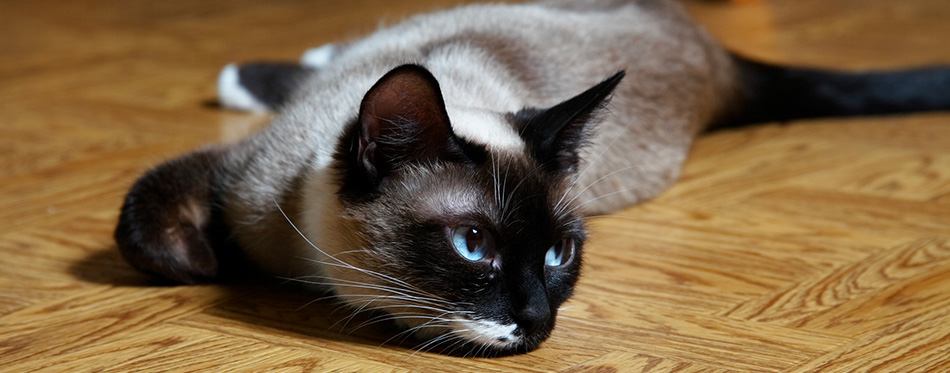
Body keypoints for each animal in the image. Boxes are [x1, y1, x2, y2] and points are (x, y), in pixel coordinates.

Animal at [115, 0, 950, 354]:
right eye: (473, 244)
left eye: (558, 255)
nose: (539, 319)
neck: (306, 262)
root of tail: (716, 56)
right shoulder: (236, 177)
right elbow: (145, 230)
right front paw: (205, 259)